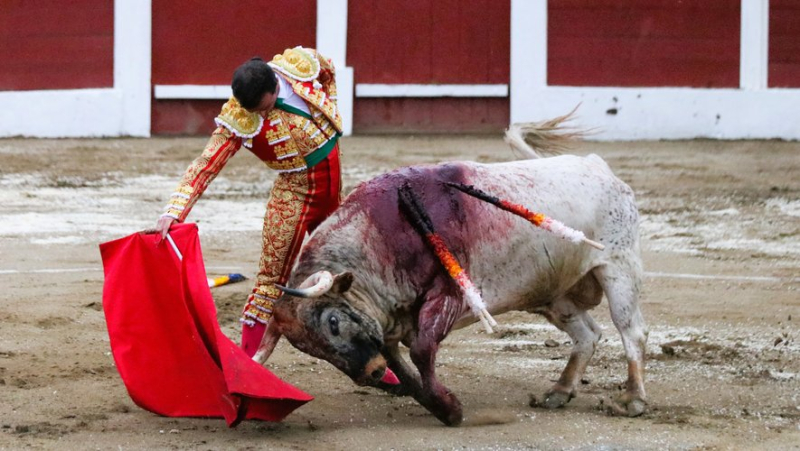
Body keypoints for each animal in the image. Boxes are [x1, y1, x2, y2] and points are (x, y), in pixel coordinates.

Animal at [253, 124, 648, 428]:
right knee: (588, 335)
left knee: (632, 332)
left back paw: (632, 400)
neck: (382, 234)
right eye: (309, 349)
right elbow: (406, 365)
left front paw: (451, 411)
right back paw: (559, 392)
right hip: (554, 294)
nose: (371, 375)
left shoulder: (448, 295)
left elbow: (422, 351)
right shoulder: (387, 322)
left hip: (618, 269)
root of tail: (597, 166)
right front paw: (440, 404)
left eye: (333, 322)